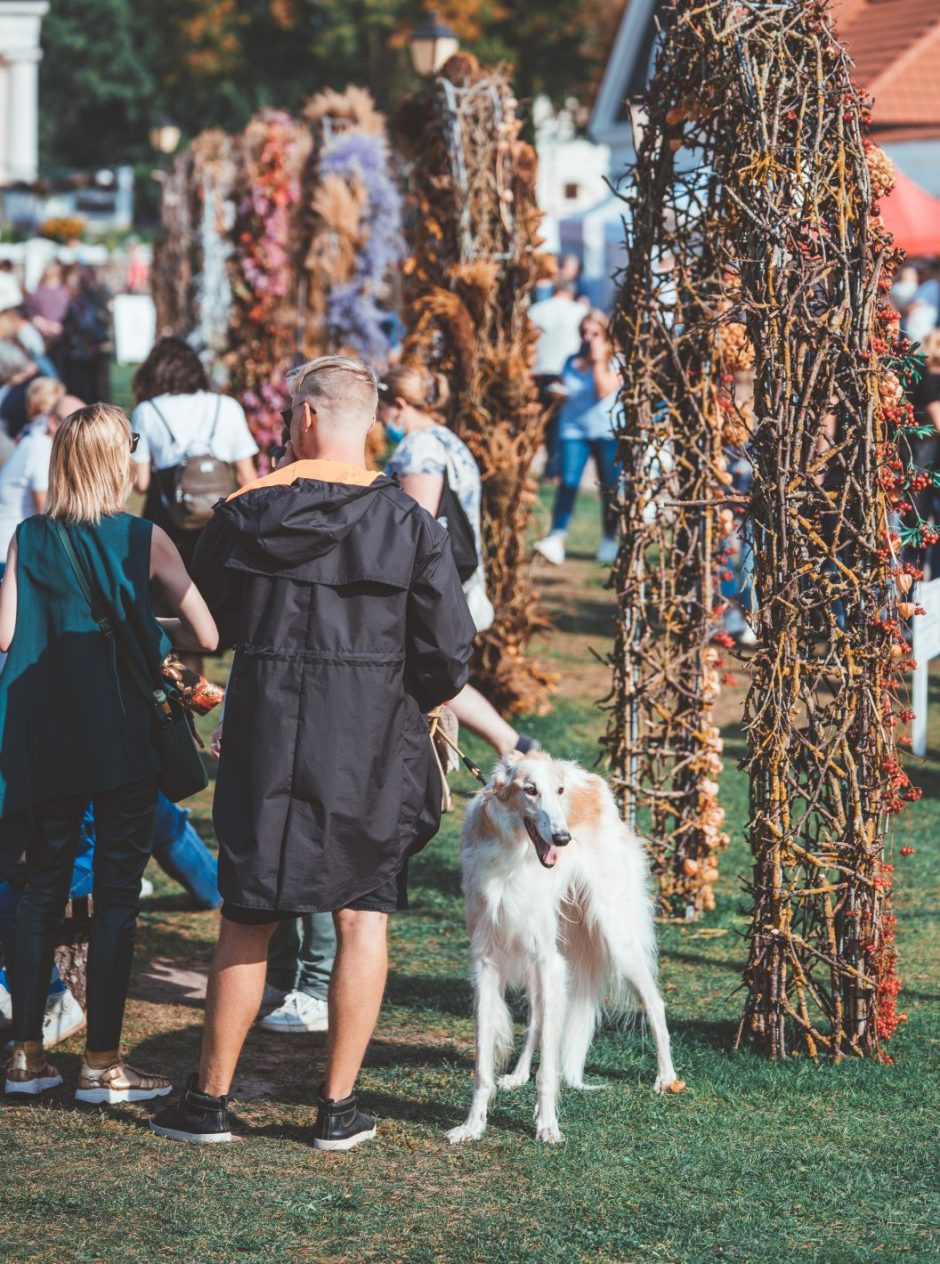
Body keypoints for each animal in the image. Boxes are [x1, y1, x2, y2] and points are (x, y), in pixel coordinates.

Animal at [447, 748, 677, 1147]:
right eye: (529, 790)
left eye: (559, 790)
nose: (562, 837)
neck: (513, 858)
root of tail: (595, 783)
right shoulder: (488, 962)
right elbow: (483, 1066)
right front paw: (472, 1125)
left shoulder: (546, 958)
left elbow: (549, 1070)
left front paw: (547, 1125)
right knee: (538, 1020)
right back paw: (518, 1074)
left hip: (613, 933)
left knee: (653, 1001)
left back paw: (666, 1077)